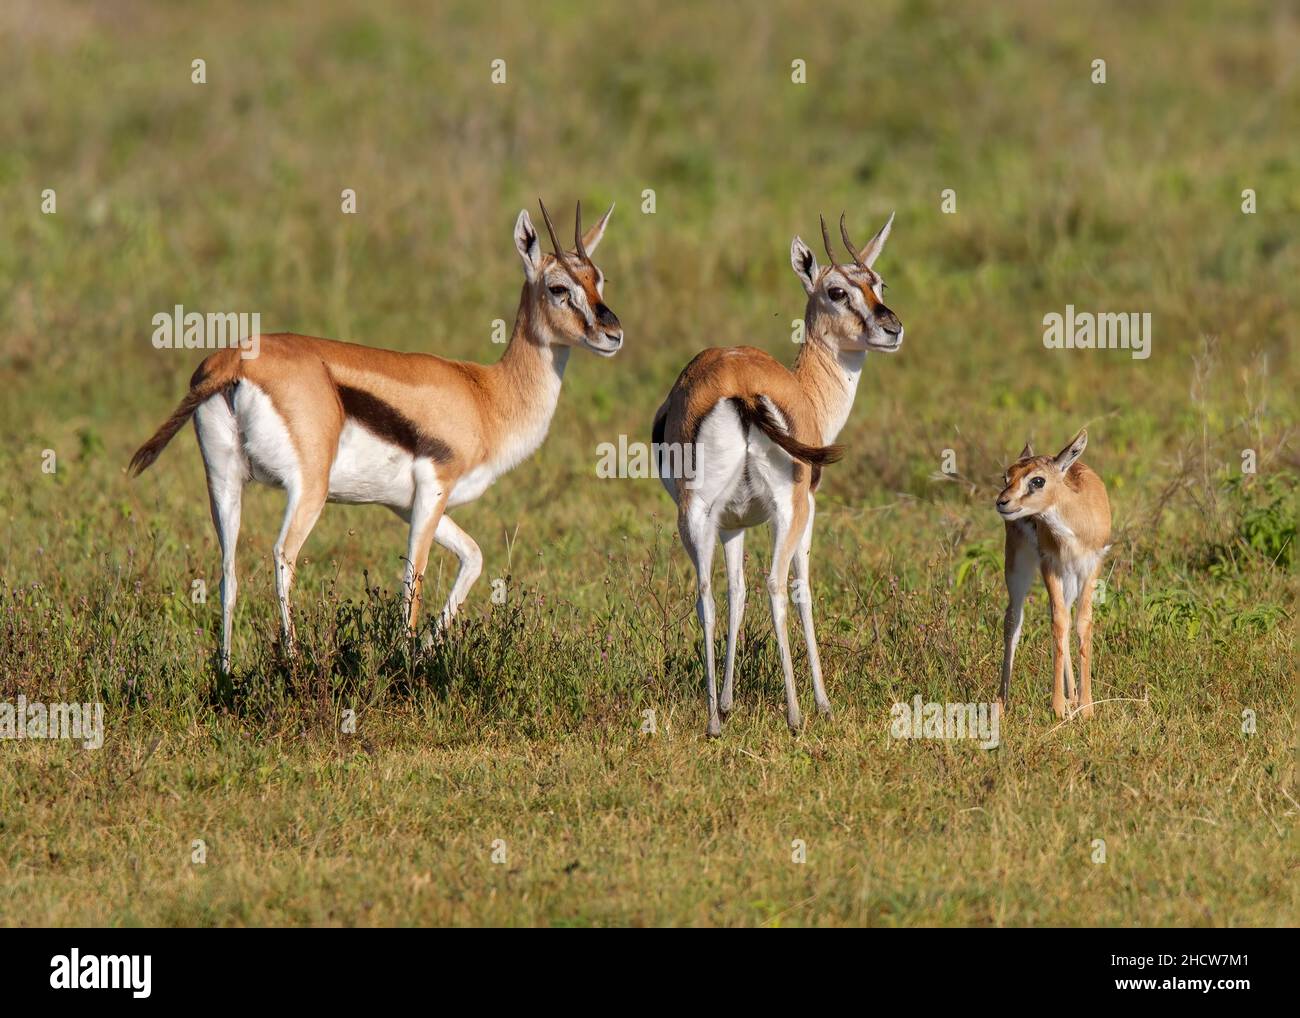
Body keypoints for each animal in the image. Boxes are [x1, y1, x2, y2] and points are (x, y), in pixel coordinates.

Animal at [128, 200, 622, 673]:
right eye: (558, 288)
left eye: (599, 279)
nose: (612, 332)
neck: (485, 395)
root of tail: (234, 363)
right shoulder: (433, 489)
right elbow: (413, 579)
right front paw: (405, 664)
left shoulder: (403, 504)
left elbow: (474, 557)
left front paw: (421, 654)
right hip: (309, 488)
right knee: (283, 555)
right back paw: (294, 664)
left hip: (224, 481)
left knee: (228, 572)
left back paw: (227, 677)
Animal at [652, 211, 903, 736]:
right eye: (837, 291)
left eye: (878, 283)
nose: (892, 327)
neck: (806, 393)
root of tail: (743, 389)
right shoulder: (806, 512)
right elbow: (800, 591)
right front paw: (823, 702)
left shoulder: (732, 523)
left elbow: (735, 593)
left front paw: (728, 702)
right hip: (789, 511)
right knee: (777, 586)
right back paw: (795, 714)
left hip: (695, 515)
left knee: (706, 595)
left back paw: (714, 721)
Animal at [995, 429, 1112, 719]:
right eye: (1006, 476)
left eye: (1038, 480)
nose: (1002, 502)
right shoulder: (1050, 565)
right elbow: (1058, 622)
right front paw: (1058, 707)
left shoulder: (1092, 566)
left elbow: (1082, 623)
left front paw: (1086, 707)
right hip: (1018, 566)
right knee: (1013, 620)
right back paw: (1001, 703)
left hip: (1070, 577)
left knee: (1067, 617)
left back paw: (1073, 698)